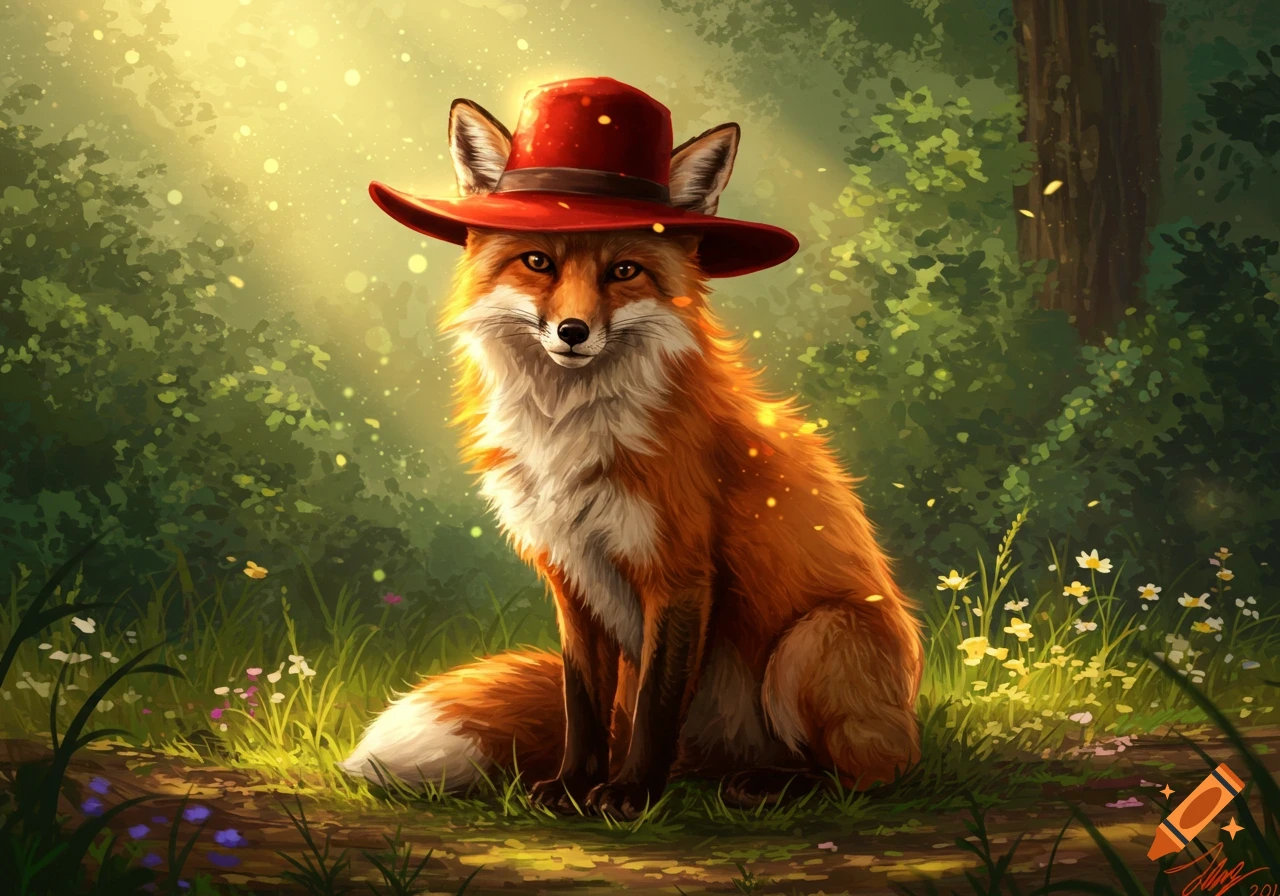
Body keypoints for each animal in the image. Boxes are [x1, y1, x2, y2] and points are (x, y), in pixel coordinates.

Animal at [341, 87, 924, 819]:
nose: (572, 331)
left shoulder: (678, 573)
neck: (570, 433)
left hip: (814, 639)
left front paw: (629, 794)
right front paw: (573, 785)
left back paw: (768, 785)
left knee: (869, 774)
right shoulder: (569, 574)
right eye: (539, 262)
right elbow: (582, 702)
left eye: (623, 271)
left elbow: (656, 704)